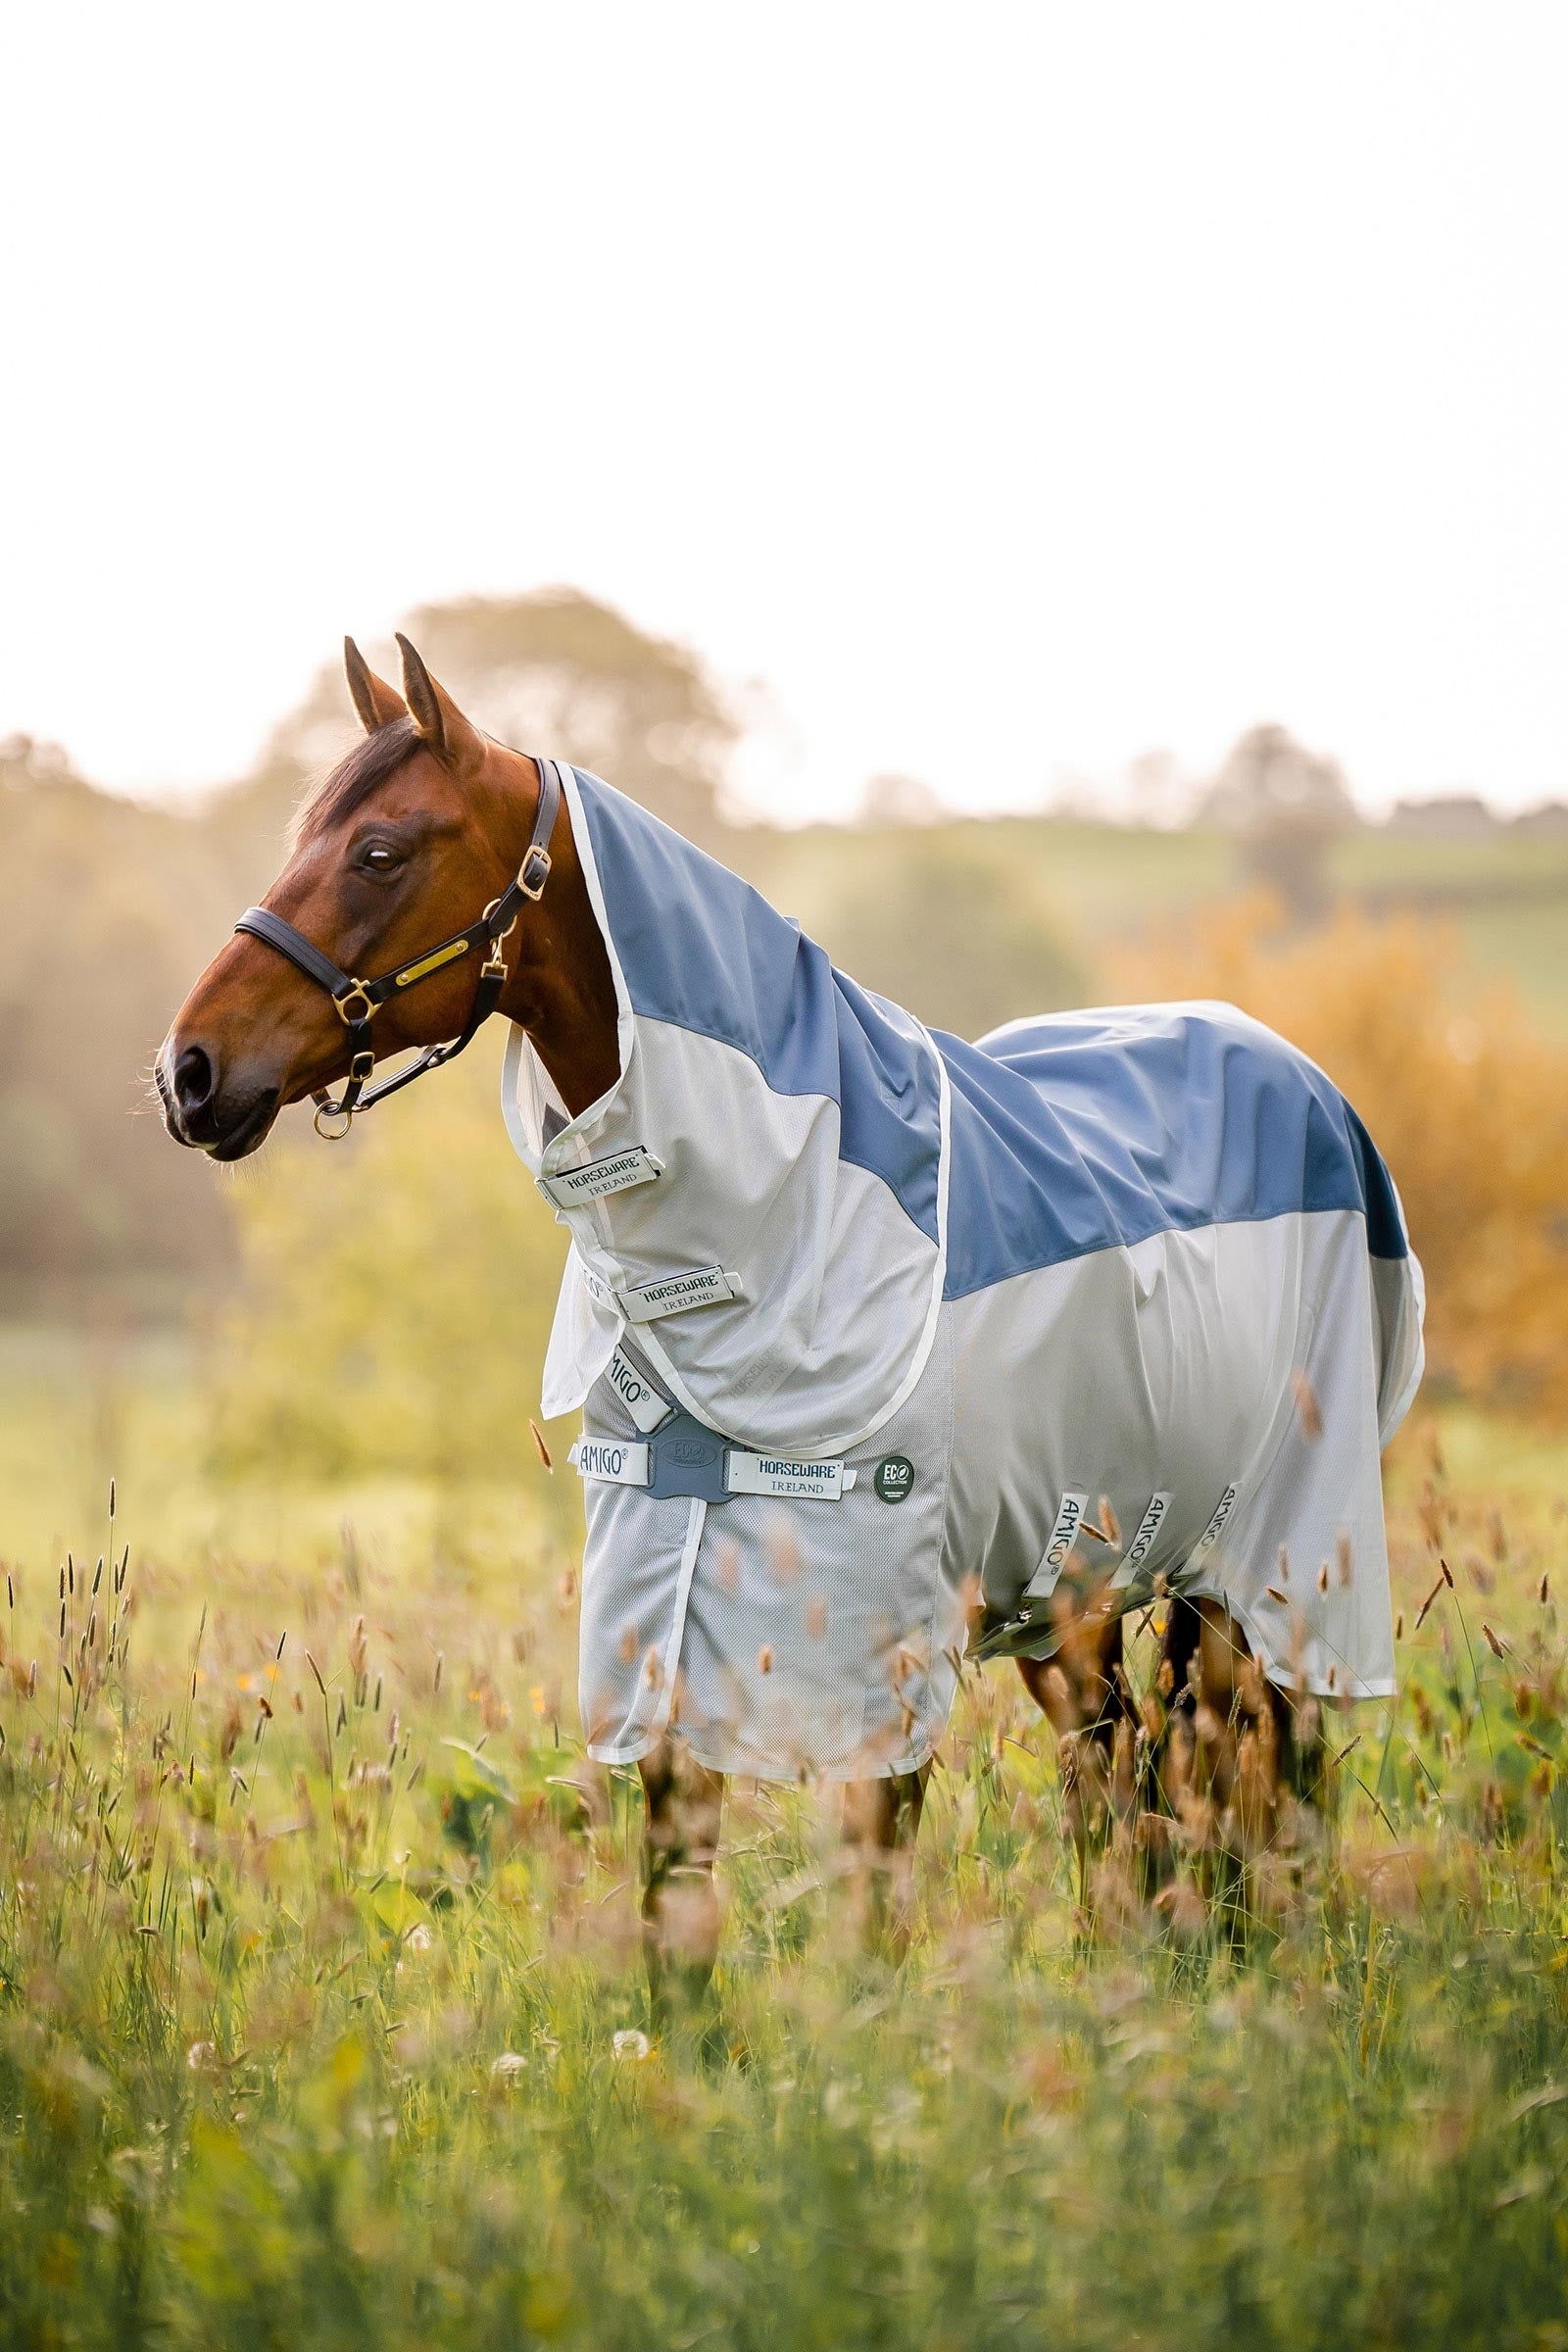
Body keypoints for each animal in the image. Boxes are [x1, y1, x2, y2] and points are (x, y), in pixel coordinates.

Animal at [160, 635, 1425, 1996]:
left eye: (381, 851)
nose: (188, 1072)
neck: (779, 1228)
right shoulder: (663, 1627)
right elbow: (677, 1900)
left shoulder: (879, 1648)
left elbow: (871, 1895)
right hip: (1072, 1593)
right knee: (1129, 1778)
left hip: (1263, 1575)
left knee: (1242, 1767)